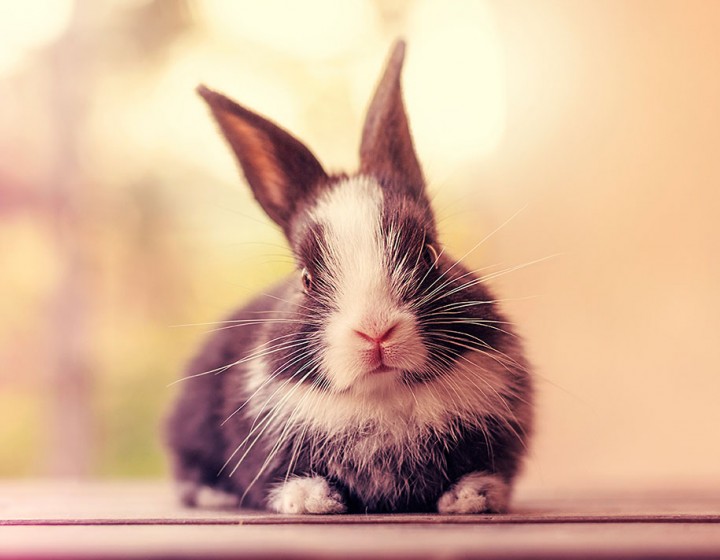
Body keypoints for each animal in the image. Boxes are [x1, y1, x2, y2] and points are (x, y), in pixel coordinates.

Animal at [165, 39, 536, 516]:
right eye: (306, 278)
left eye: (429, 252)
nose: (375, 331)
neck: (383, 395)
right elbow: (281, 479)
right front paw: (310, 499)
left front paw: (472, 496)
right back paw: (214, 495)